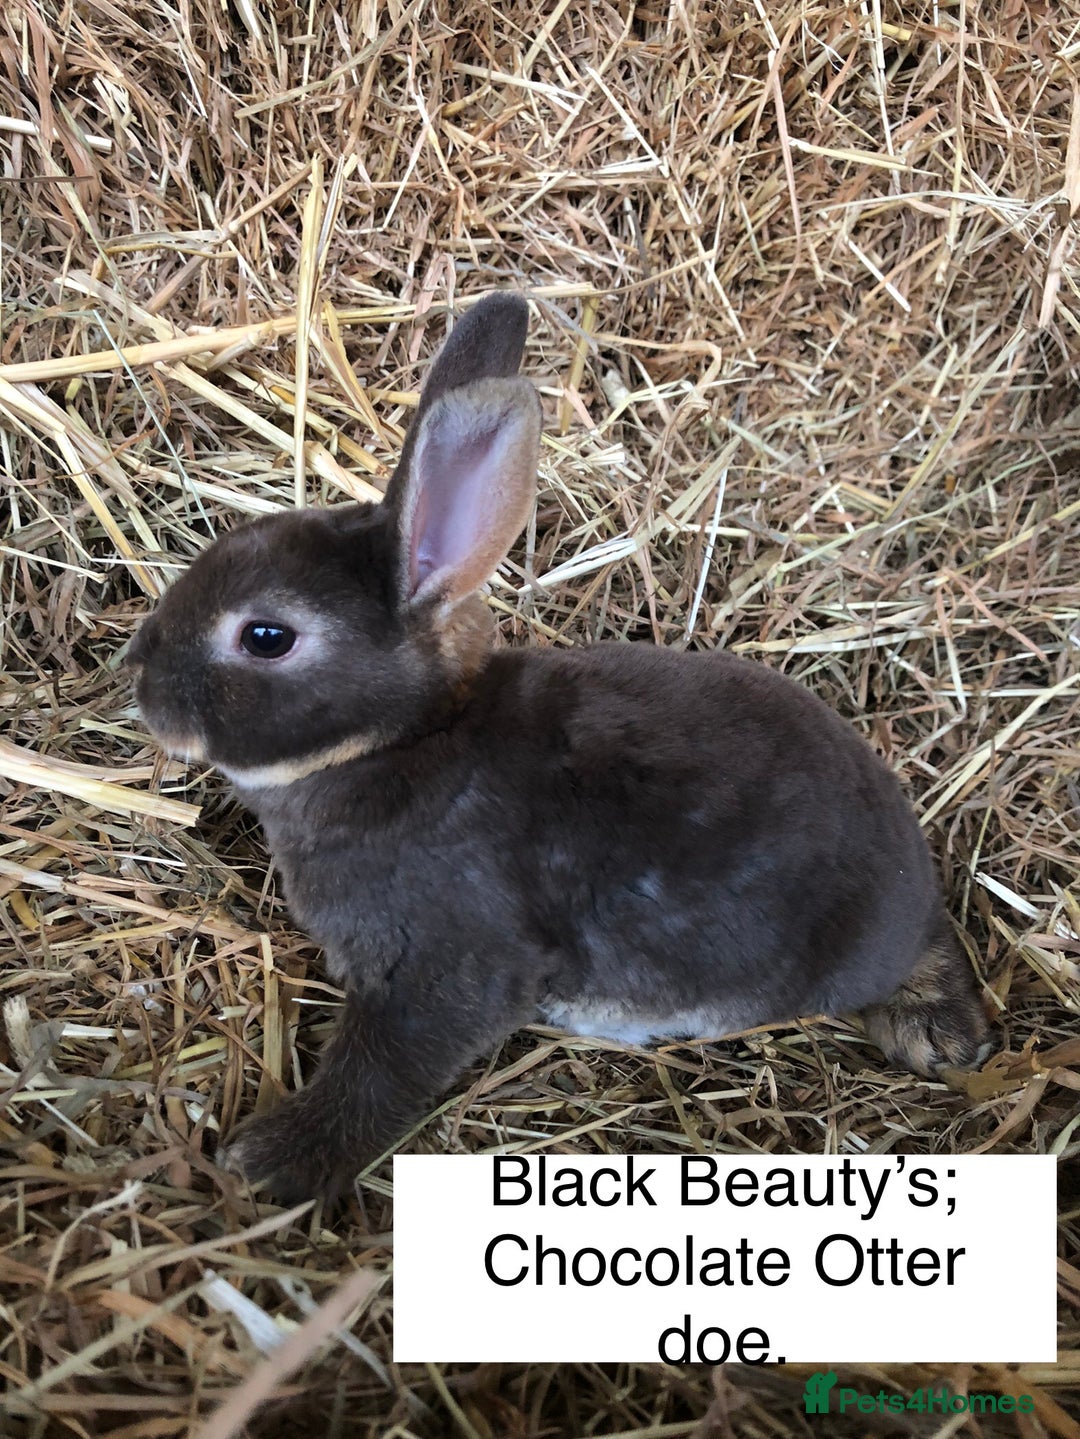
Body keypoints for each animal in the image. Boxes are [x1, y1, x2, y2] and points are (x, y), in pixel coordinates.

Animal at [127, 291, 990, 1203]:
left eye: (266, 636)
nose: (139, 673)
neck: (403, 740)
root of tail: (909, 857)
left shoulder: (444, 967)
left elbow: (380, 1073)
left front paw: (268, 1162)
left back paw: (938, 1030)